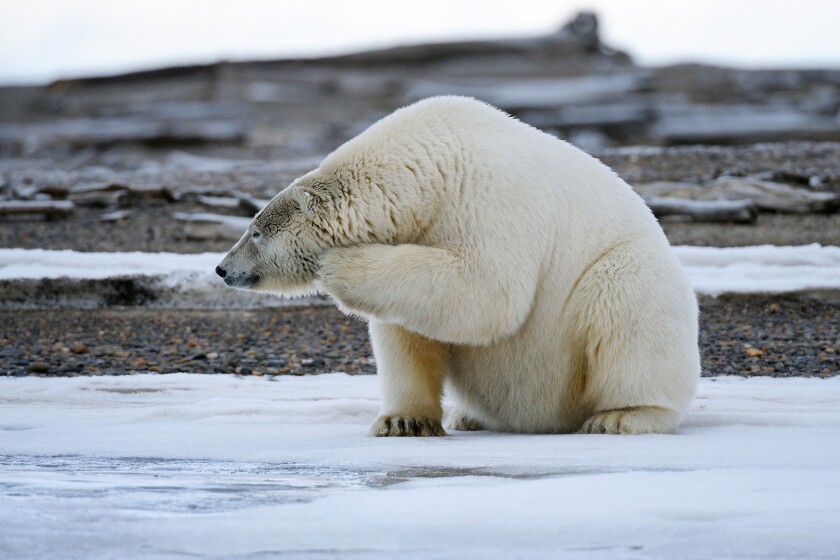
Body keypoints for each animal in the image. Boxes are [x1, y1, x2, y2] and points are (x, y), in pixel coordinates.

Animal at [216, 96, 700, 436]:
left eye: (255, 231)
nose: (222, 269)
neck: (431, 165)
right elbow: (406, 328)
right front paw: (402, 422)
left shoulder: (487, 199)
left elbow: (488, 289)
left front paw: (341, 263)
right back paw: (470, 417)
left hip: (629, 277)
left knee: (626, 302)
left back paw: (621, 416)